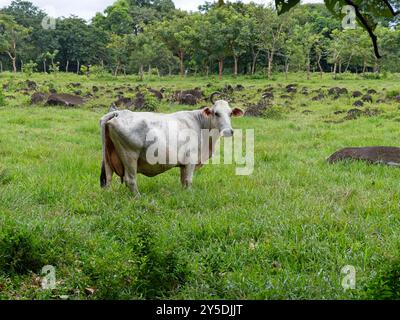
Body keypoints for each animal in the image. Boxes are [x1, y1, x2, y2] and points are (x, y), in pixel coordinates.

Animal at [100, 94, 244, 196]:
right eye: (216, 113)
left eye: (230, 113)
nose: (228, 131)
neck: (200, 124)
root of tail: (118, 113)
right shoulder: (191, 160)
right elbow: (189, 180)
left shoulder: (183, 165)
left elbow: (183, 180)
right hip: (130, 156)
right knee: (130, 179)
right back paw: (138, 197)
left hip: (108, 158)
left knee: (108, 180)